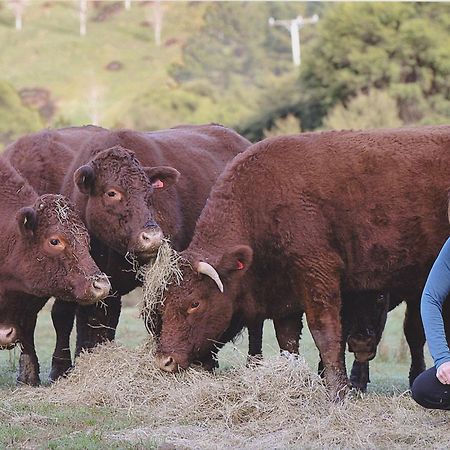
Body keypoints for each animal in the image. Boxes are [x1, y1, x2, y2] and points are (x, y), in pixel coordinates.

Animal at [154, 125, 450, 398]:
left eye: (195, 303)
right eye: (164, 304)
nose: (164, 360)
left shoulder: (318, 275)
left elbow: (326, 334)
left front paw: (337, 391)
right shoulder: (284, 297)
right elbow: (288, 342)